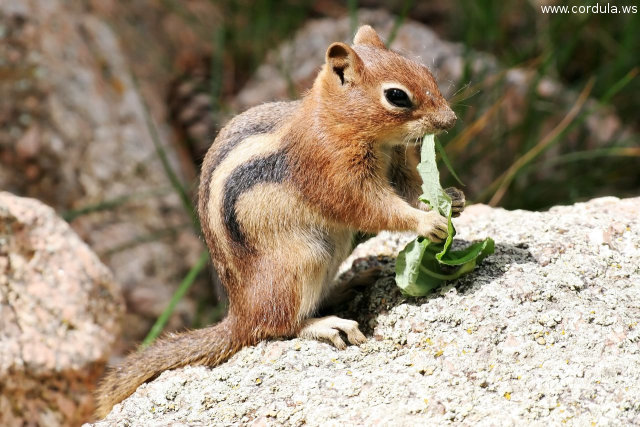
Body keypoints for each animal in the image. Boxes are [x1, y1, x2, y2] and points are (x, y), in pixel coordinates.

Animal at [96, 24, 464, 418]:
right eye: (397, 96)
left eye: (425, 71)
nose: (450, 120)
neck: (335, 121)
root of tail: (239, 315)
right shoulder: (331, 171)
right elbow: (373, 208)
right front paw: (427, 223)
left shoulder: (396, 162)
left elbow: (410, 191)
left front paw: (451, 200)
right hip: (303, 260)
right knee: (277, 327)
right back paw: (325, 324)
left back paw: (351, 283)